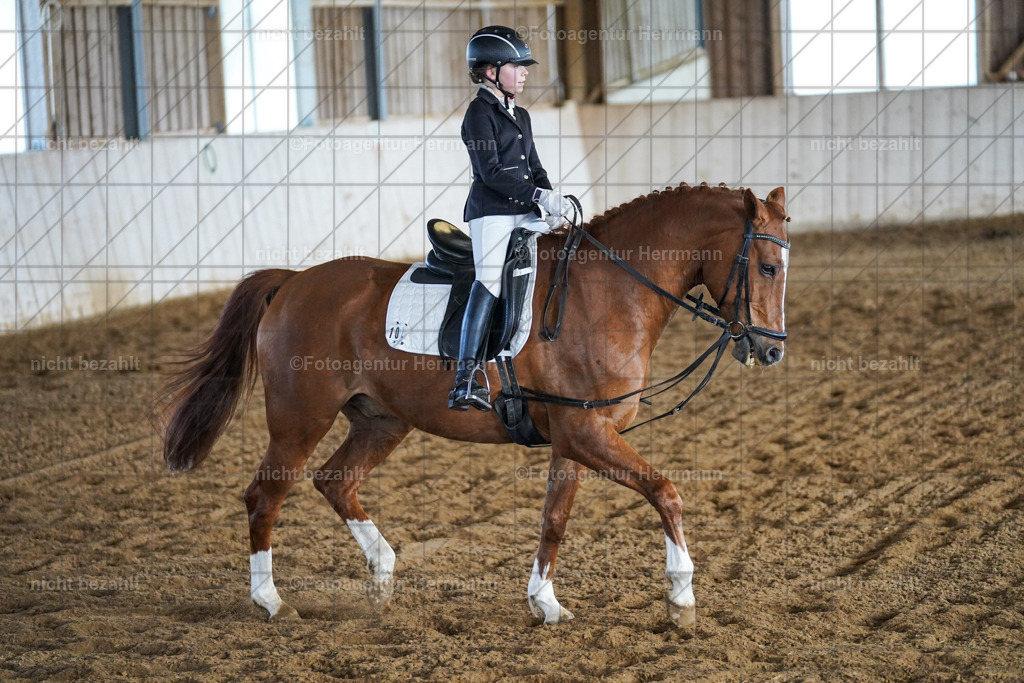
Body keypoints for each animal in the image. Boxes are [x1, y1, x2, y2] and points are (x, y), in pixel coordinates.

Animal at [159, 182, 790, 628]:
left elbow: (554, 520)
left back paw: (383, 577)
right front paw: (681, 598)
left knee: (335, 482)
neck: (609, 292)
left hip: (382, 422)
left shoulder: (574, 439)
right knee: (264, 497)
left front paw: (545, 604)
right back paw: (271, 601)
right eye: (766, 266)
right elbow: (666, 492)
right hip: (298, 421)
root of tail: (292, 282)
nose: (771, 350)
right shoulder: (587, 433)